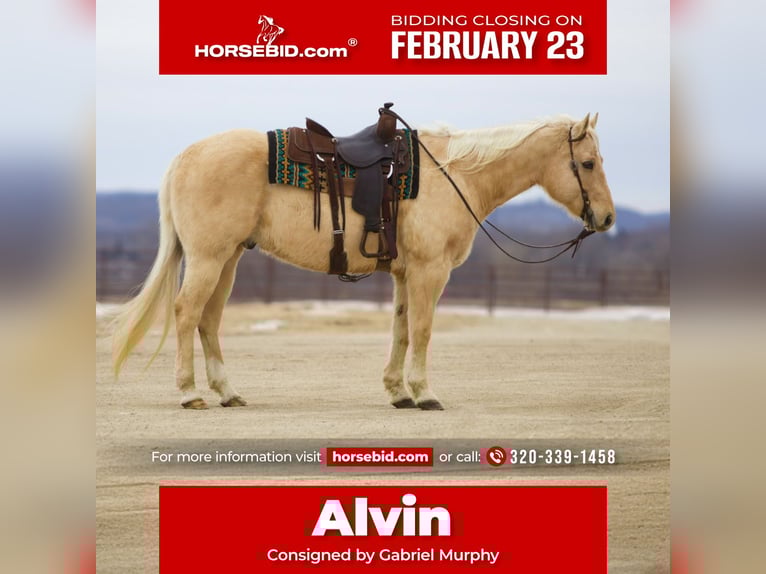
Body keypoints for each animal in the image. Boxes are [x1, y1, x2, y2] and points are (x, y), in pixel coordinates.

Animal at [111, 112, 615, 410]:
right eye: (589, 163)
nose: (607, 218)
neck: (454, 174)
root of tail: (185, 156)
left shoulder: (405, 274)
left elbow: (401, 329)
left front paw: (398, 392)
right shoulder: (430, 271)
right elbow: (423, 330)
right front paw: (425, 393)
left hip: (228, 260)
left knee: (208, 319)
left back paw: (228, 392)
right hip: (208, 258)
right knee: (185, 313)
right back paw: (189, 392)